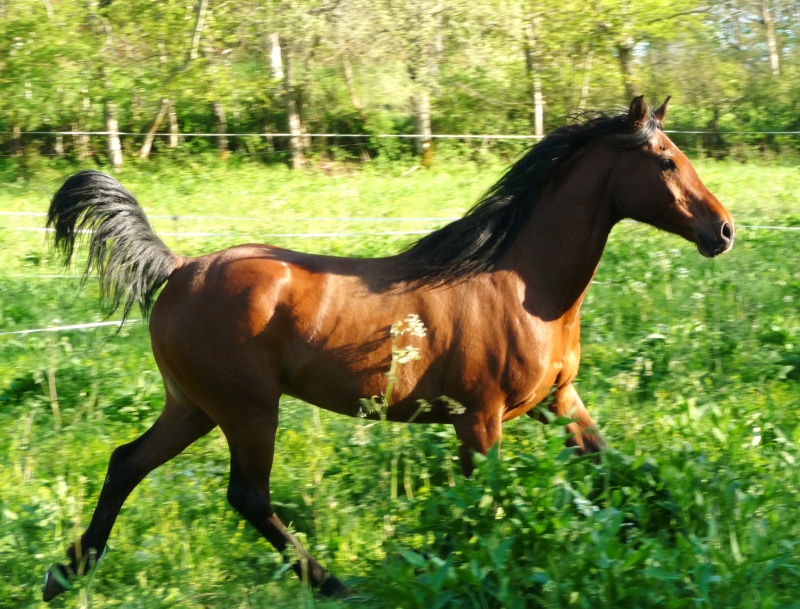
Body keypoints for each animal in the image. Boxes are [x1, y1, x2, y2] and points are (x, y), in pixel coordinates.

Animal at [42, 97, 732, 600]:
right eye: (666, 161)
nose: (722, 231)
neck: (522, 283)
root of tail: (180, 269)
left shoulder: (557, 401)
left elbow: (615, 463)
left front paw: (675, 519)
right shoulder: (477, 419)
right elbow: (481, 503)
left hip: (193, 406)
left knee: (127, 463)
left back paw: (64, 574)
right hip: (247, 410)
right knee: (247, 496)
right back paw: (334, 585)